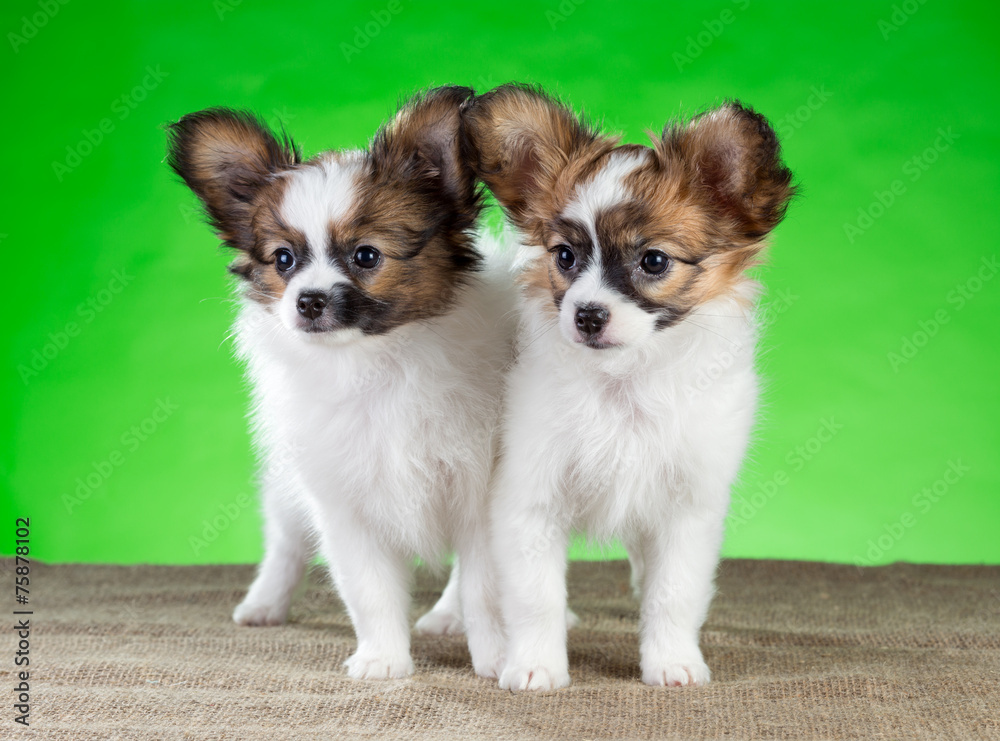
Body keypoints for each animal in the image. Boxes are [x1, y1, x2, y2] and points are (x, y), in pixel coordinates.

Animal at [169, 85, 512, 676]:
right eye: (283, 259)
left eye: (366, 256)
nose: (308, 300)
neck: (375, 363)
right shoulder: (343, 500)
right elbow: (369, 591)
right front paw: (383, 661)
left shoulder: (481, 492)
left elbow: (485, 591)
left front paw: (495, 661)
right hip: (289, 483)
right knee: (285, 542)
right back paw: (264, 604)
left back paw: (447, 617)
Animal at [464, 85, 792, 688]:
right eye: (564, 256)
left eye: (653, 261)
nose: (588, 314)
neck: (625, 383)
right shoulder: (527, 497)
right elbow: (534, 596)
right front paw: (534, 666)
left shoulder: (687, 504)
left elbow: (674, 592)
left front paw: (672, 662)